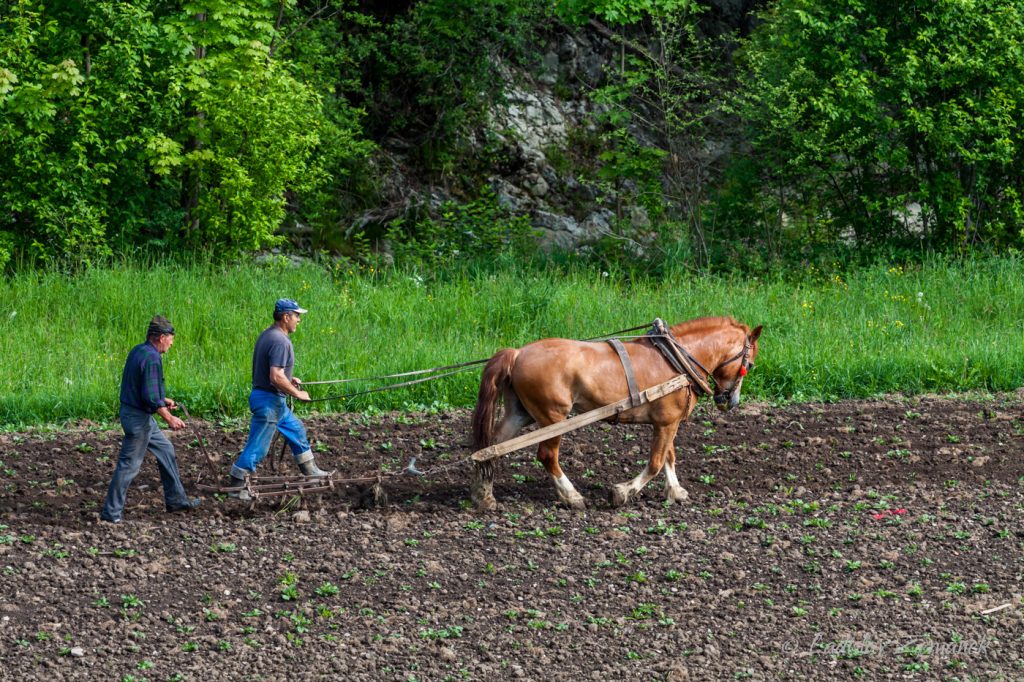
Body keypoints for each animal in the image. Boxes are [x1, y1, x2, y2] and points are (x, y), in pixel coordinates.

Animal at [468, 315, 761, 507]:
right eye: (749, 364)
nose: (730, 401)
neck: (677, 360)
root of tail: (517, 353)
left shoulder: (669, 422)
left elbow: (669, 456)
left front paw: (676, 492)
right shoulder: (666, 422)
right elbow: (656, 462)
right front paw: (622, 492)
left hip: (521, 413)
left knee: (492, 446)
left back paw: (484, 495)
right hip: (552, 417)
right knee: (547, 456)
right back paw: (572, 496)